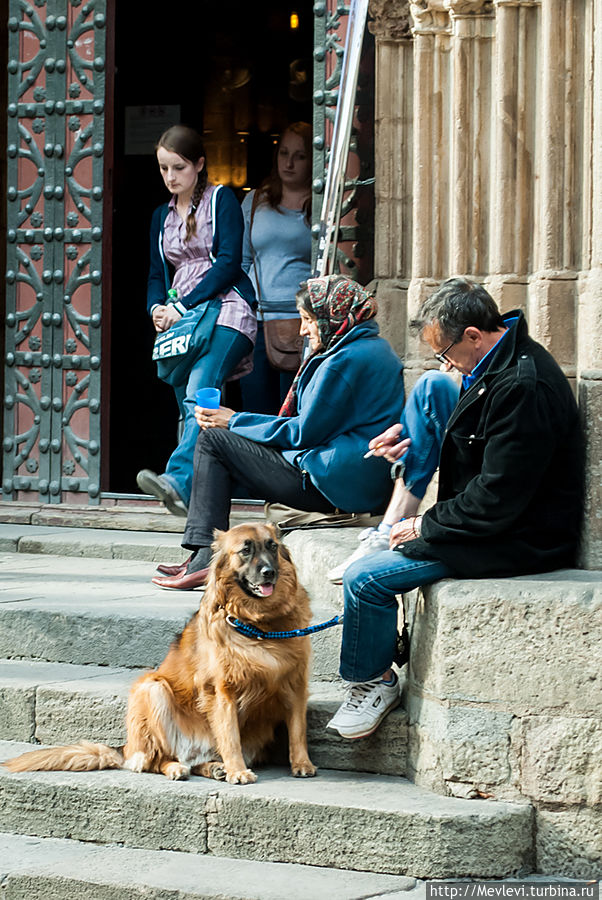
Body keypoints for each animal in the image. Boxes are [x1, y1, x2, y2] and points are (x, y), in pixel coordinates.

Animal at [2, 524, 314, 784]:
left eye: (272, 546)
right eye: (245, 550)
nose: (269, 572)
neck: (260, 625)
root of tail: (125, 748)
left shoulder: (296, 685)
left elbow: (297, 730)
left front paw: (302, 764)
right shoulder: (221, 691)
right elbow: (230, 737)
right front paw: (238, 771)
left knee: (195, 761)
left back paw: (214, 767)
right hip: (152, 688)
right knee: (158, 759)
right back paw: (180, 768)